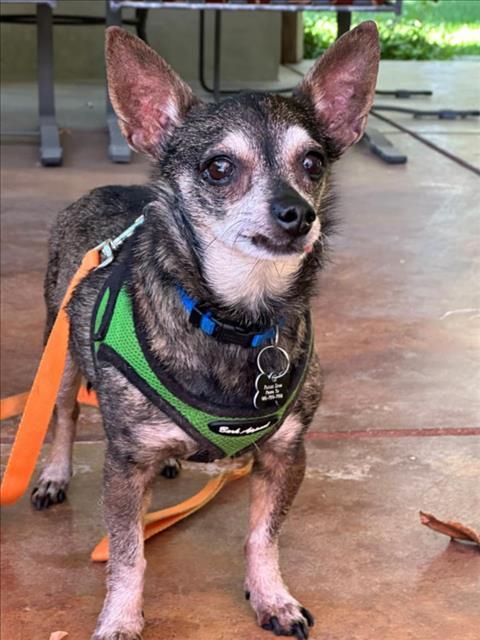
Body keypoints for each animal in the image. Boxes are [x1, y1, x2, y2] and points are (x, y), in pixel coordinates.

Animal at [30, 22, 380, 636]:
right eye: (219, 168)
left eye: (313, 163)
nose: (298, 213)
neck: (235, 319)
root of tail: (102, 190)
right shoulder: (124, 467)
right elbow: (128, 553)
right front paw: (120, 619)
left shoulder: (286, 455)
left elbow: (262, 536)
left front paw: (271, 597)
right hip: (65, 350)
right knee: (66, 415)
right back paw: (54, 471)